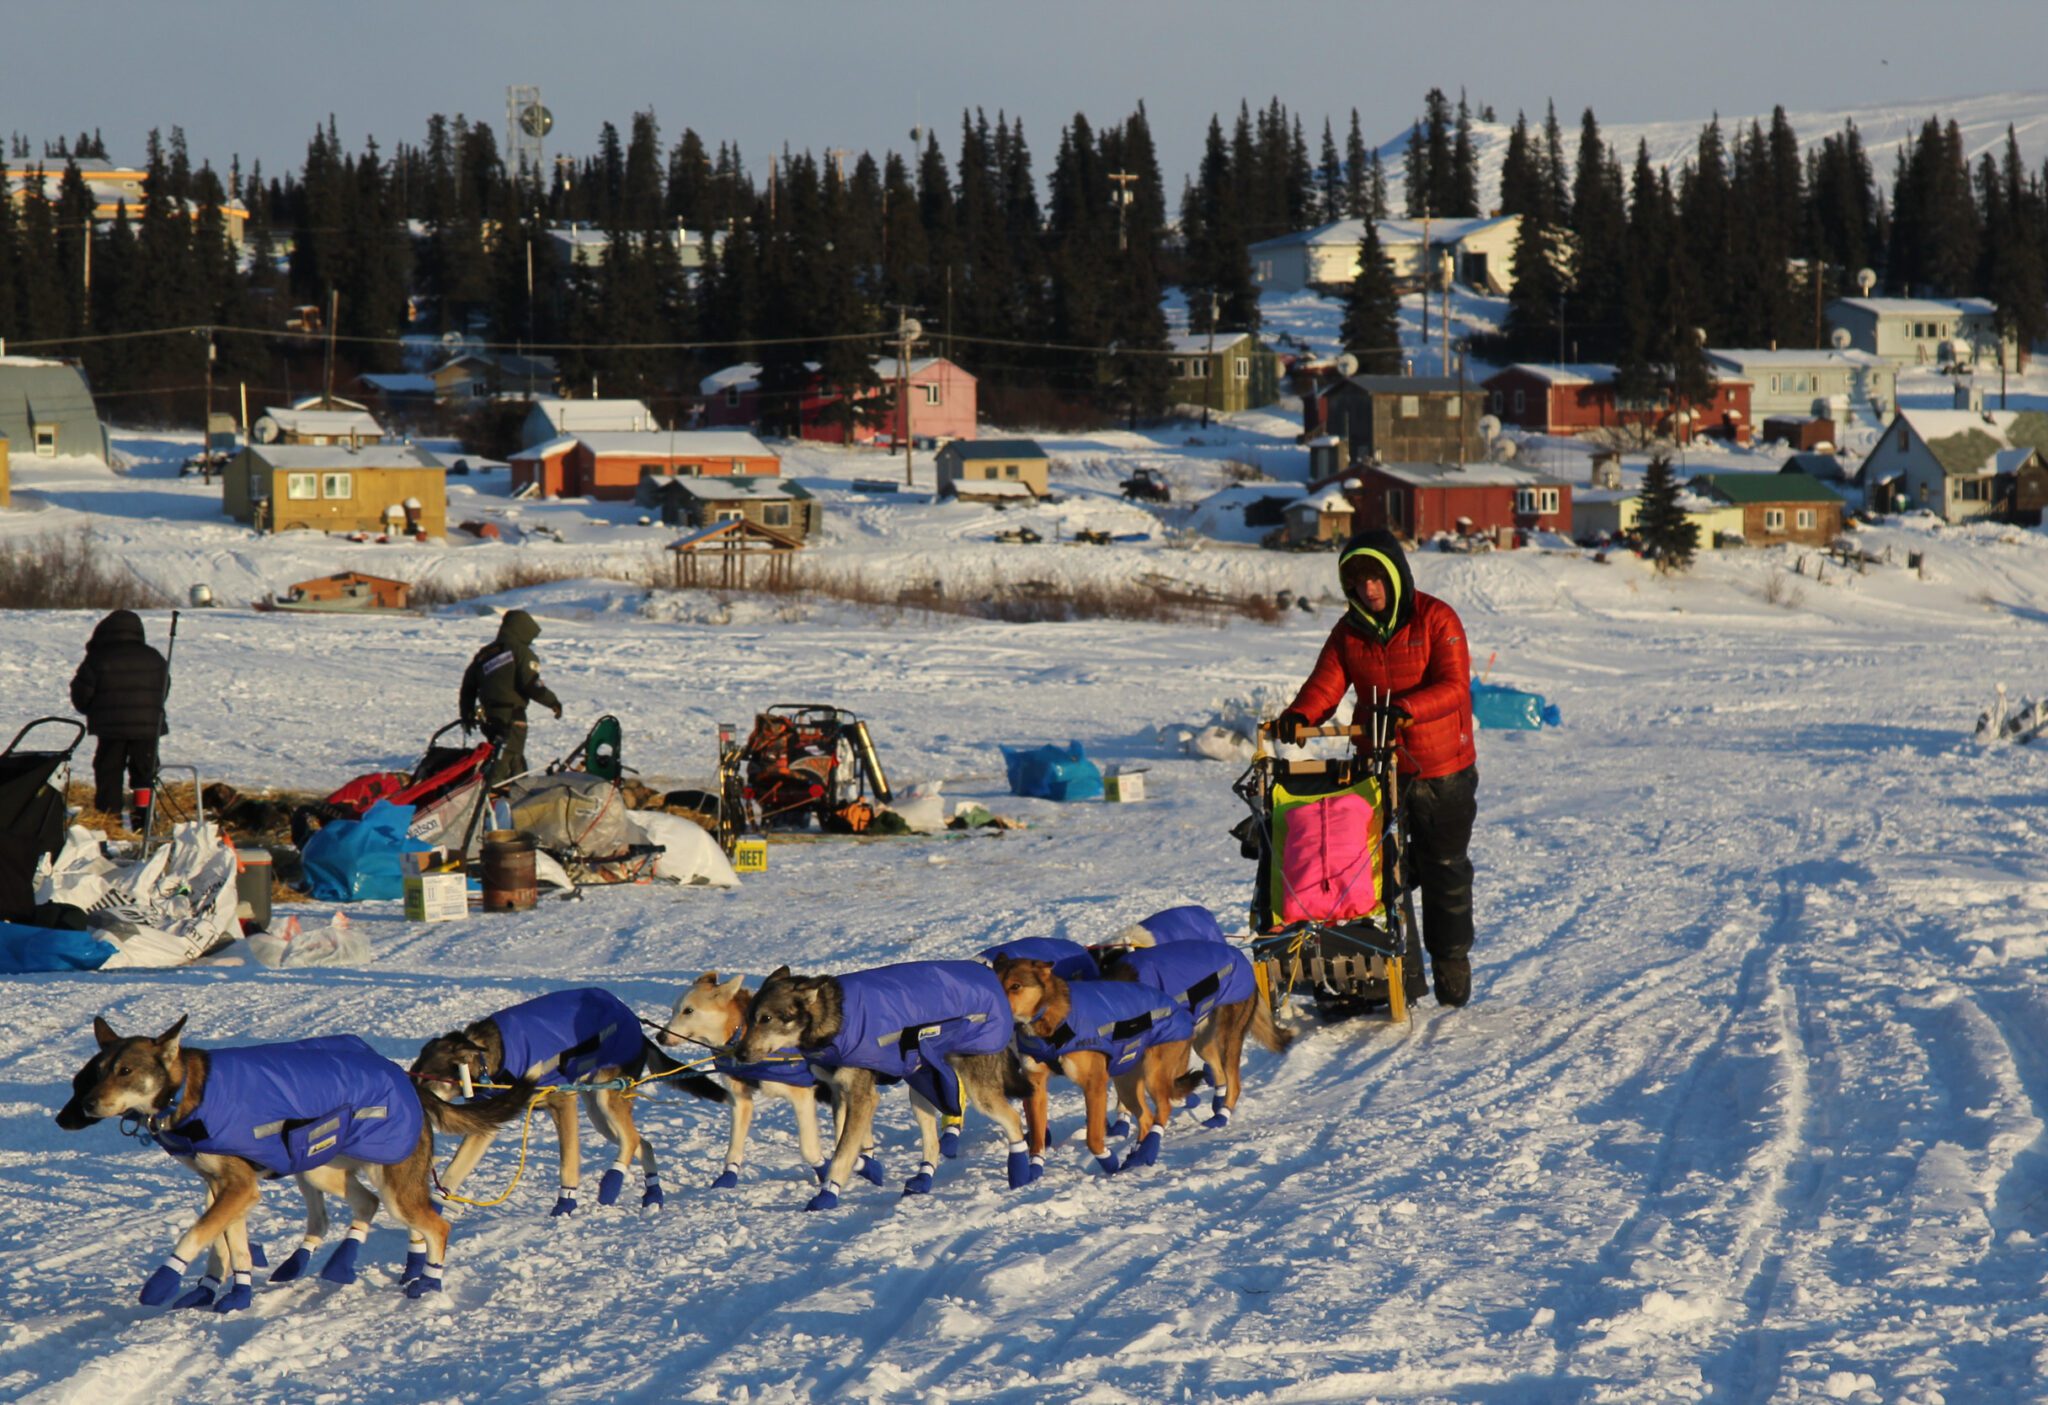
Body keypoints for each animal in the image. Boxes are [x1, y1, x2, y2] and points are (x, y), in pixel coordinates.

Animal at [405, 991, 720, 1212]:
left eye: (426, 1080)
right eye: (413, 1073)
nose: (411, 1103)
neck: (492, 1058)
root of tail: (636, 1026)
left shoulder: (563, 1103)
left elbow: (567, 1163)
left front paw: (564, 1206)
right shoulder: (487, 1124)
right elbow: (454, 1170)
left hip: (606, 1099)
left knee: (631, 1140)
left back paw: (612, 1183)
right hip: (598, 1114)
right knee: (642, 1142)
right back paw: (652, 1195)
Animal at [737, 966, 1032, 1212]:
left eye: (766, 1018)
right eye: (749, 1019)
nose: (739, 1054)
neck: (835, 1021)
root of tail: (991, 977)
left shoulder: (862, 1096)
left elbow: (842, 1152)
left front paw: (828, 1194)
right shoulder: (841, 1094)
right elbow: (843, 1145)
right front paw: (869, 1167)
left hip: (978, 1091)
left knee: (1013, 1120)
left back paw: (1020, 1172)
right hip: (921, 1088)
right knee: (932, 1144)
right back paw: (923, 1179)